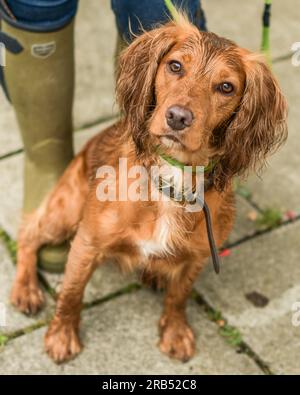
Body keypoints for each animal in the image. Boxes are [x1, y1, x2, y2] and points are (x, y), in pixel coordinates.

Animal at [10, 17, 288, 364]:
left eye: (227, 87)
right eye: (175, 66)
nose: (178, 117)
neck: (172, 177)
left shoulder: (197, 256)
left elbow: (179, 295)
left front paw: (175, 331)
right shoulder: (87, 242)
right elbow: (73, 292)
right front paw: (62, 335)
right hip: (66, 210)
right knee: (28, 234)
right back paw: (26, 289)